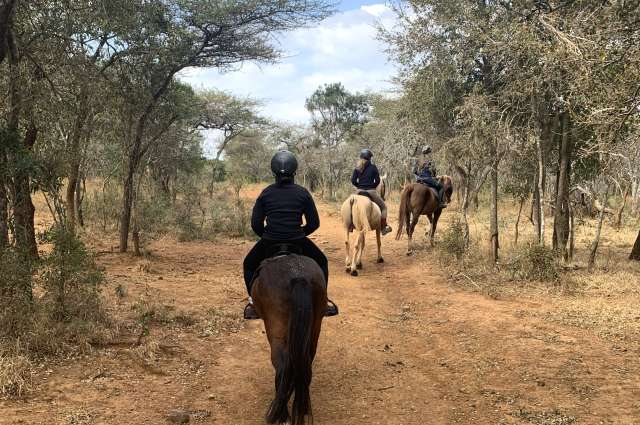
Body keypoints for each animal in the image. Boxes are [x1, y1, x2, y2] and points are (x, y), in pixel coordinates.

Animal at [251, 252, 327, 425]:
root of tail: (298, 276)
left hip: (277, 332)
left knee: (281, 367)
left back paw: (282, 415)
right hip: (315, 327)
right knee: (306, 365)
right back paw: (303, 410)